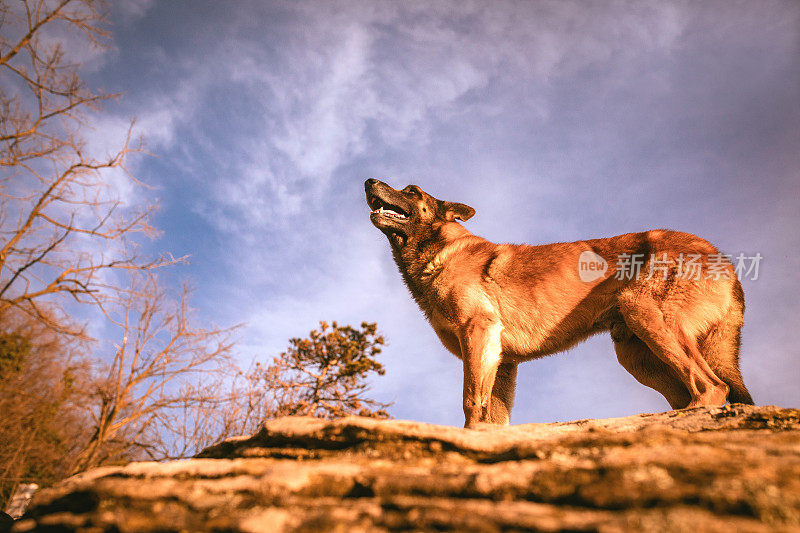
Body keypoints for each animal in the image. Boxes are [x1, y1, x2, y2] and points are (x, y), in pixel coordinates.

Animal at [366, 179, 752, 428]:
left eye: (412, 191)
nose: (369, 180)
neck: (439, 250)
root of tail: (721, 257)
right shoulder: (502, 362)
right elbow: (493, 417)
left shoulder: (479, 335)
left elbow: (471, 401)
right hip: (639, 355)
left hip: (648, 318)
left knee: (712, 386)